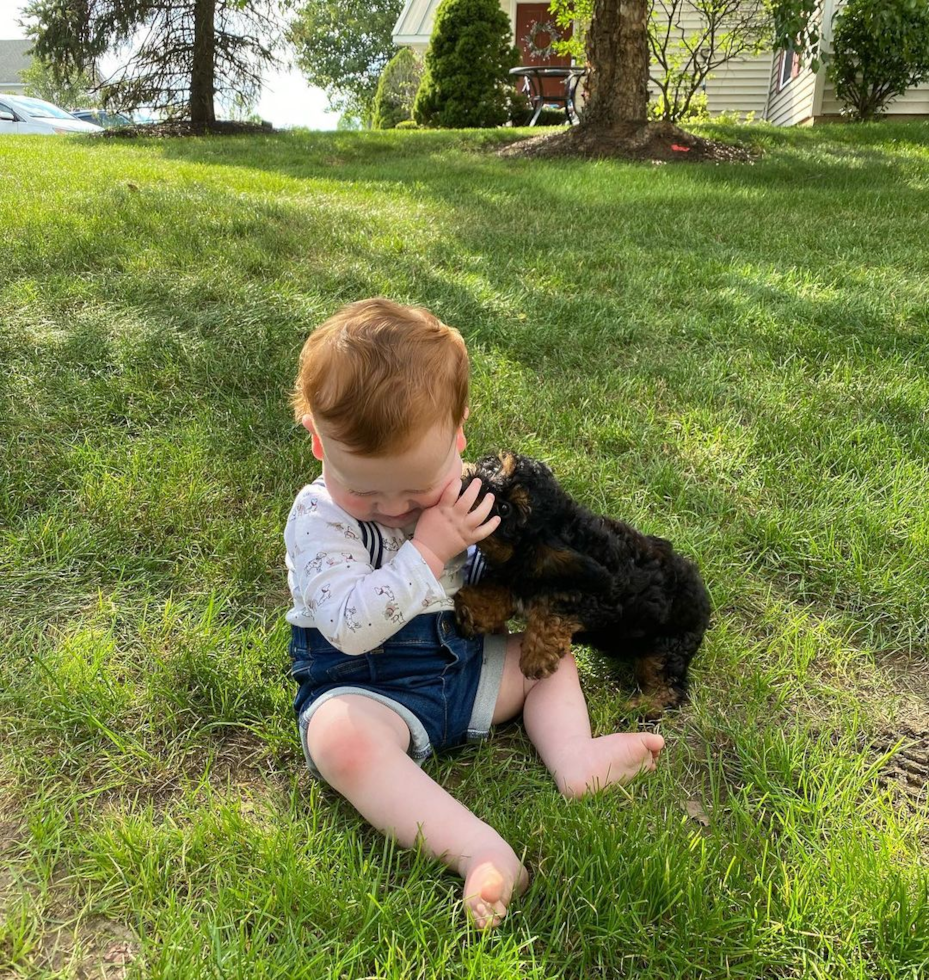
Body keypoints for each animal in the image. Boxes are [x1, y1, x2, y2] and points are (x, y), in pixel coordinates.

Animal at [456, 456, 712, 716]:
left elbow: (553, 608)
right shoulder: (519, 574)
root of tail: (704, 603)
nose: (466, 484)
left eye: (504, 509)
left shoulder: (602, 599)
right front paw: (472, 609)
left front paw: (537, 656)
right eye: (491, 464)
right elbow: (502, 590)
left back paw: (637, 709)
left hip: (667, 646)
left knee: (668, 688)